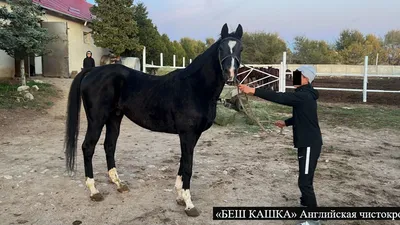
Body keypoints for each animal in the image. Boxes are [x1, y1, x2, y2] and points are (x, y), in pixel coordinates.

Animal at [65, 23, 244, 217]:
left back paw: (119, 184)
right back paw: (94, 191)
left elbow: (183, 162)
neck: (195, 87)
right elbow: (188, 166)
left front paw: (180, 196)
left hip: (114, 117)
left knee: (109, 146)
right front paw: (189, 204)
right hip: (97, 120)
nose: (230, 74)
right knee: (88, 147)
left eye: (240, 48)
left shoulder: (192, 135)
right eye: (221, 49)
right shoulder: (187, 134)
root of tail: (92, 71)